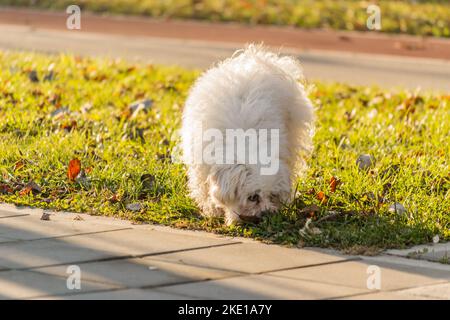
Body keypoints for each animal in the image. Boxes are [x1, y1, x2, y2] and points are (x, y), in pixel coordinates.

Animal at [181, 44, 314, 225]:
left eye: (272, 195)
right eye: (253, 197)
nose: (267, 214)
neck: (246, 140)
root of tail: (259, 58)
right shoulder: (201, 162)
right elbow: (204, 188)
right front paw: (212, 210)